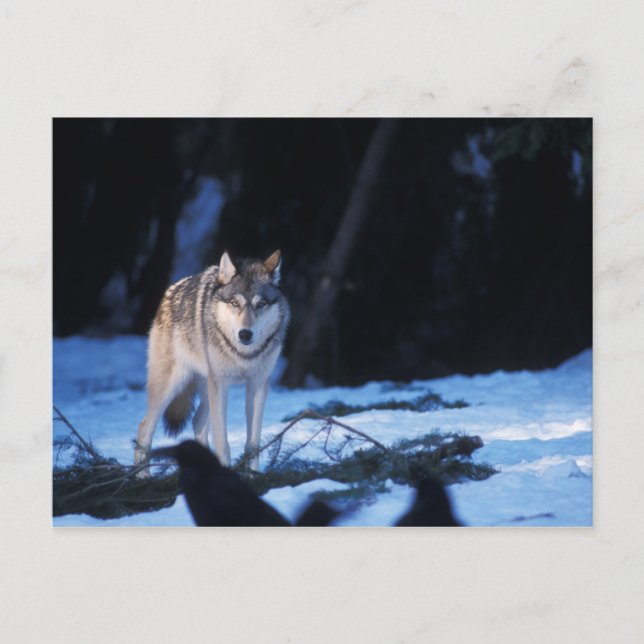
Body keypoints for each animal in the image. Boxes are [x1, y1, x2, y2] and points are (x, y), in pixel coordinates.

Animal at [134, 250, 290, 474]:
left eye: (260, 305)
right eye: (235, 303)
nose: (245, 334)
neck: (243, 355)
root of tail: (170, 290)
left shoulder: (257, 385)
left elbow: (253, 443)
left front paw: (253, 475)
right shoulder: (221, 385)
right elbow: (222, 442)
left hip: (207, 389)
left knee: (197, 421)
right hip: (173, 386)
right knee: (144, 428)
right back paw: (142, 477)